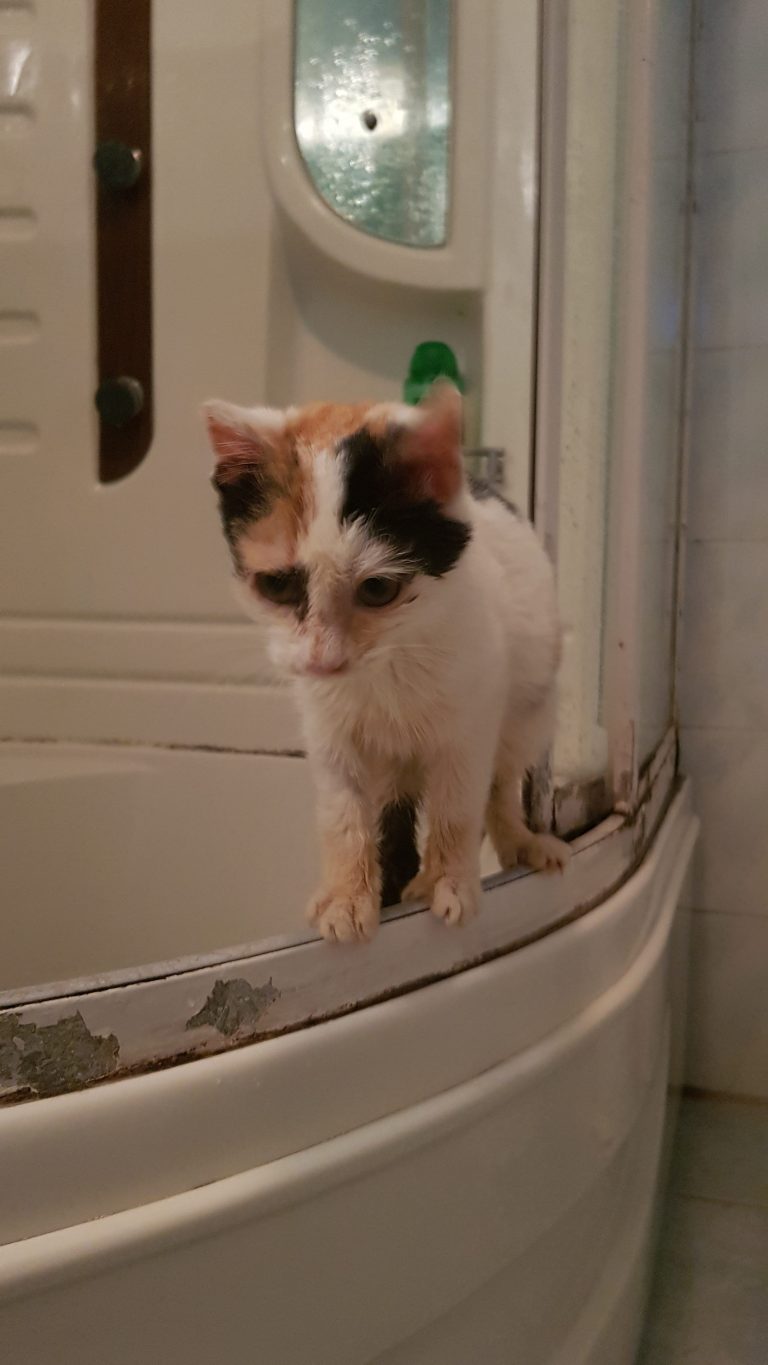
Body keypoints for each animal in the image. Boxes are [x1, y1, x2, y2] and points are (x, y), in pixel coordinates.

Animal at [204, 381, 569, 944]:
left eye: (377, 589)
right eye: (277, 585)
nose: (323, 660)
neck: (388, 666)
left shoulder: (472, 718)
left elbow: (458, 804)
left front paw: (449, 883)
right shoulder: (326, 727)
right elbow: (343, 811)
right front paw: (347, 896)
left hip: (531, 707)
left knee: (502, 778)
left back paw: (519, 843)